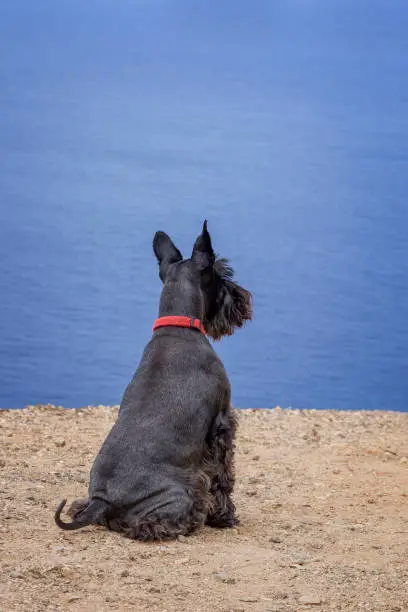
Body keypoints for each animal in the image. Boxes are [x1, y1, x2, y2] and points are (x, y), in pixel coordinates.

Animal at [54, 221, 252, 540]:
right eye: (222, 273)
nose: (243, 297)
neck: (178, 325)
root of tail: (101, 502)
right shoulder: (222, 423)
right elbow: (223, 475)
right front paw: (225, 517)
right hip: (181, 496)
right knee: (152, 523)